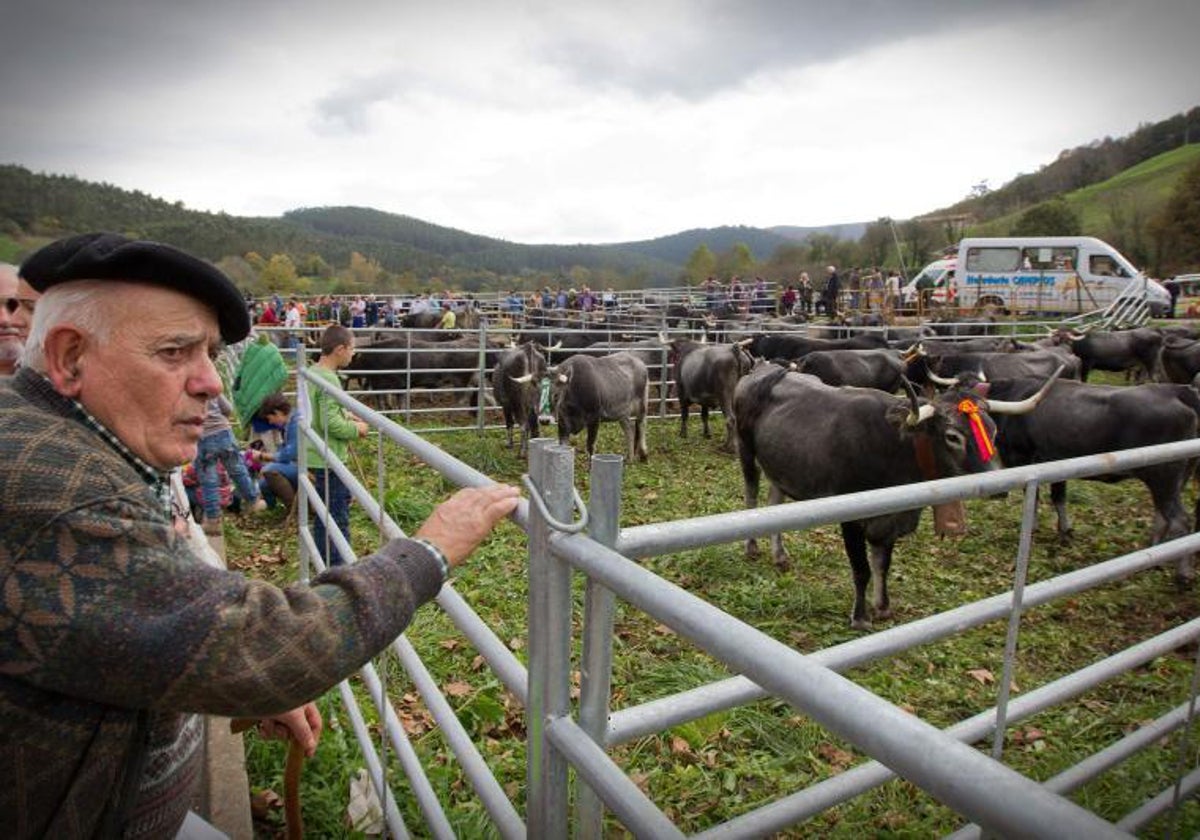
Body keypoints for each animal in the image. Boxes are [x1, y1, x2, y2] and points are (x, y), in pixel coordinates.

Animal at [729, 360, 1060, 628]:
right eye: (953, 436)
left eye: (993, 431)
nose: (999, 484)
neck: (896, 446)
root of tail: (763, 371)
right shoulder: (851, 521)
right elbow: (862, 569)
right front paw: (860, 616)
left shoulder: (890, 521)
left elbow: (882, 564)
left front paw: (883, 606)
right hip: (747, 452)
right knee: (751, 495)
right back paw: (752, 546)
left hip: (781, 466)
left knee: (774, 502)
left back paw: (780, 555)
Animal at [984, 379, 1200, 583]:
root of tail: (1176, 390)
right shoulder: (1056, 463)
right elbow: (1059, 498)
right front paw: (1065, 532)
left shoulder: (1022, 458)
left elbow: (1035, 499)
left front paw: (1034, 529)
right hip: (1176, 478)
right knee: (1162, 515)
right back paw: (1153, 553)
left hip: (1164, 476)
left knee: (1180, 521)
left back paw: (1183, 574)